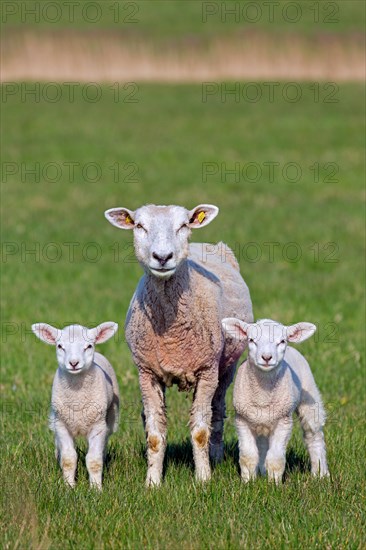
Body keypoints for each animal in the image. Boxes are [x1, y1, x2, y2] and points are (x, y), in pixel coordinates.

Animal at [32, 324, 119, 492]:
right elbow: (68, 458)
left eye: (89, 346)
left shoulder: (98, 425)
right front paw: (69, 487)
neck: (77, 398)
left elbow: (94, 460)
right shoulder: (62, 425)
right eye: (60, 346)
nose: (73, 363)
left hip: (111, 418)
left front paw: (96, 489)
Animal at [104, 204, 253, 488]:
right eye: (139, 226)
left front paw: (203, 479)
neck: (171, 334)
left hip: (226, 367)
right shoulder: (147, 373)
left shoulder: (207, 371)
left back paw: (216, 457)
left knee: (217, 411)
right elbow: (154, 434)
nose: (162, 257)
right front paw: (152, 481)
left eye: (183, 225)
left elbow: (200, 431)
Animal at [222, 316, 330, 486]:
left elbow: (276, 458)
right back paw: (262, 472)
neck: (263, 396)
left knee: (314, 436)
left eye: (282, 341)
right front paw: (248, 483)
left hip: (310, 399)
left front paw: (274, 485)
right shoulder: (242, 420)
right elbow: (248, 456)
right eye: (251, 340)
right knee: (262, 444)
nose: (266, 358)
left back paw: (320, 473)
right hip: (261, 421)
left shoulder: (283, 422)